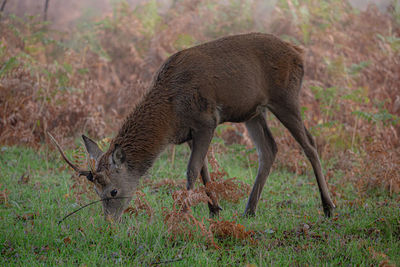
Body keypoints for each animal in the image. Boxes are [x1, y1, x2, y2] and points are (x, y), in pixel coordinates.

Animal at [51, 32, 336, 223]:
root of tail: (298, 52)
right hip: (253, 112)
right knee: (269, 149)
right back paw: (250, 209)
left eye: (113, 190)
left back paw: (328, 206)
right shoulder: (188, 133)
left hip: (286, 97)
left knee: (309, 144)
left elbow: (191, 169)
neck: (170, 116)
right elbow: (203, 169)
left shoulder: (207, 120)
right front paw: (214, 209)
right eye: (95, 191)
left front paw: (184, 213)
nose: (109, 222)